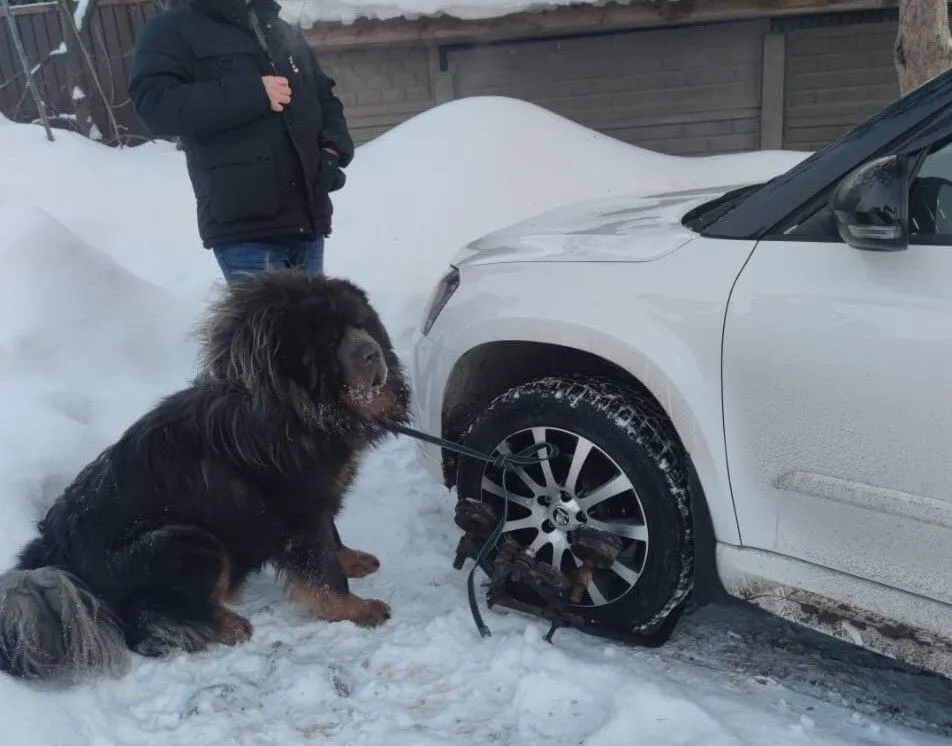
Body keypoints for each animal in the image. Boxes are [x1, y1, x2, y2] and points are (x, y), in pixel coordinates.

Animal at [0, 270, 410, 684]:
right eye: (330, 341)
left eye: (361, 324)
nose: (373, 353)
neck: (296, 408)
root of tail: (54, 554)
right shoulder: (299, 516)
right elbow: (323, 570)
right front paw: (356, 610)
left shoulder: (317, 502)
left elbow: (332, 538)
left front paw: (352, 559)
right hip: (185, 540)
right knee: (145, 623)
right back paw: (226, 626)